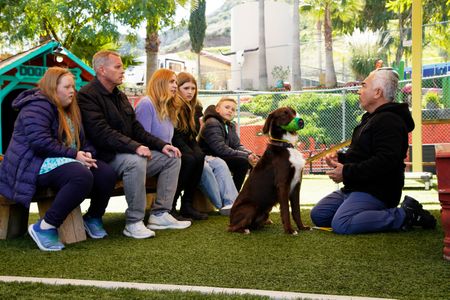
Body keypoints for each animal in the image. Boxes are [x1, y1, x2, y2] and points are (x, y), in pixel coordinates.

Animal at [229, 106, 310, 236]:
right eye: (284, 114)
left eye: (294, 112)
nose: (301, 122)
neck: (285, 146)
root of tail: (230, 219)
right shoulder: (283, 184)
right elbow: (286, 210)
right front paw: (289, 230)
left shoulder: (297, 184)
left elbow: (296, 210)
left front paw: (302, 227)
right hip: (251, 207)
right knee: (231, 228)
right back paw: (244, 230)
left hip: (265, 212)